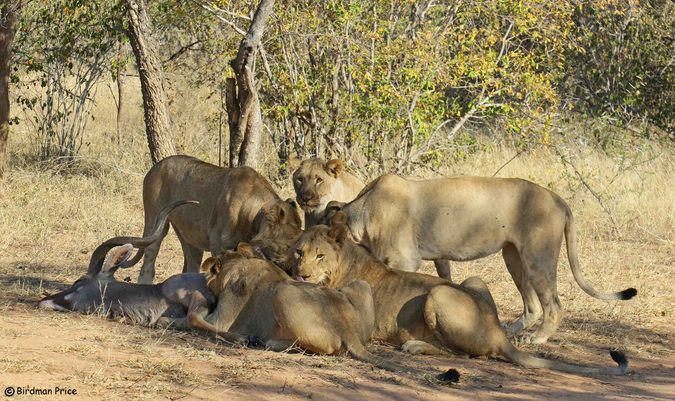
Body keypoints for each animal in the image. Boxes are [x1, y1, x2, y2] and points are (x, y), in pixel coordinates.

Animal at [182, 242, 402, 370]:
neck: (238, 262)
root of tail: (347, 329)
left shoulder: (224, 316)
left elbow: (192, 319)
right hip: (360, 284)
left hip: (283, 292)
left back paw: (264, 342)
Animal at [290, 222, 628, 376]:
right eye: (299, 251)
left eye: (319, 255)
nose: (301, 275)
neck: (344, 263)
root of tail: (498, 331)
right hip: (473, 280)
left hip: (438, 293)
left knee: (463, 355)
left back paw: (413, 346)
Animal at [324, 173, 636, 342]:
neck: (361, 211)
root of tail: (560, 200)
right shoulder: (440, 255)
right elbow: (444, 278)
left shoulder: (404, 258)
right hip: (514, 256)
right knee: (533, 304)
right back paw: (512, 328)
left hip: (538, 255)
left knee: (554, 305)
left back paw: (536, 338)